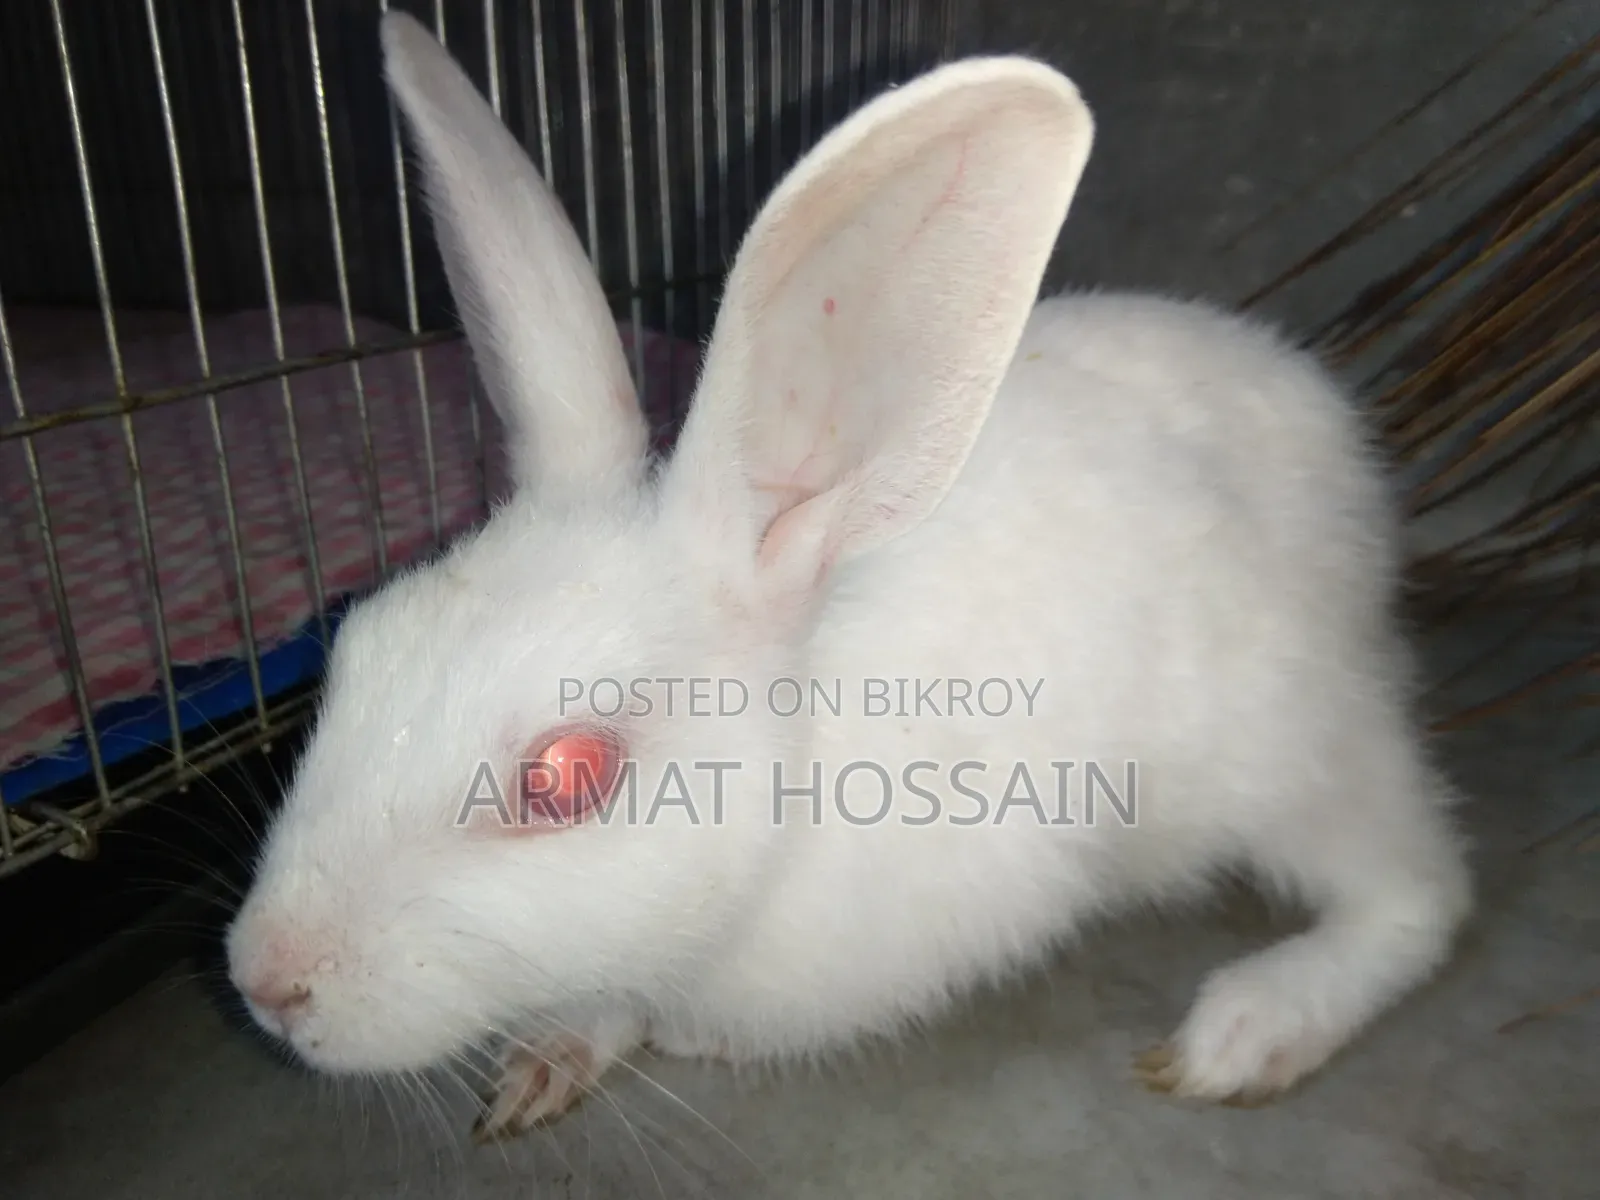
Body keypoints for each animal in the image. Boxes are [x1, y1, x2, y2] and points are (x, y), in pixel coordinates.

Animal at [226, 10, 1473, 1144]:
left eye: (568, 777)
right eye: (354, 649)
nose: (263, 982)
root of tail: (1333, 440)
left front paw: (652, 1039)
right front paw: (546, 1062)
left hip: (1290, 750)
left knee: (1417, 889)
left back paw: (1250, 1029)